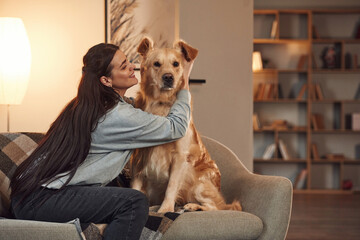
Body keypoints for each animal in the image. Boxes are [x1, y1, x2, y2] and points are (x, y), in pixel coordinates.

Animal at [129, 36, 242, 213]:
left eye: (176, 64)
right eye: (156, 64)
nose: (168, 77)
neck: (161, 104)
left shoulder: (180, 157)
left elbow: (172, 186)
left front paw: (165, 210)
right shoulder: (139, 156)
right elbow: (135, 186)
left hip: (198, 184)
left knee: (215, 207)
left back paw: (191, 206)